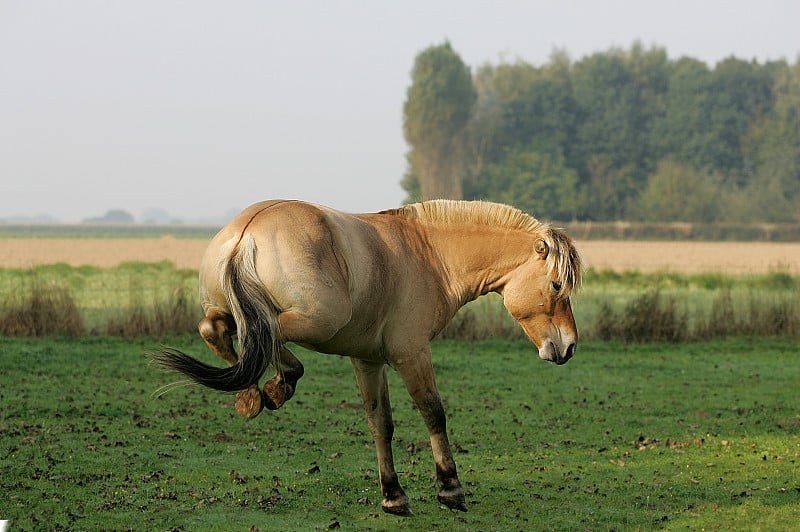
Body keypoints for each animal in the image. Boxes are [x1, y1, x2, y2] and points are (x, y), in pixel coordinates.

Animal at [155, 198, 580, 516]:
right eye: (556, 285)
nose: (569, 346)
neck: (428, 255)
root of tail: (246, 232)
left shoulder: (368, 360)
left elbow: (381, 423)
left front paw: (393, 496)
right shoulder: (412, 354)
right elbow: (433, 413)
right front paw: (450, 489)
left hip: (235, 311)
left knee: (216, 329)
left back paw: (254, 395)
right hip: (319, 320)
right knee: (264, 332)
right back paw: (276, 385)